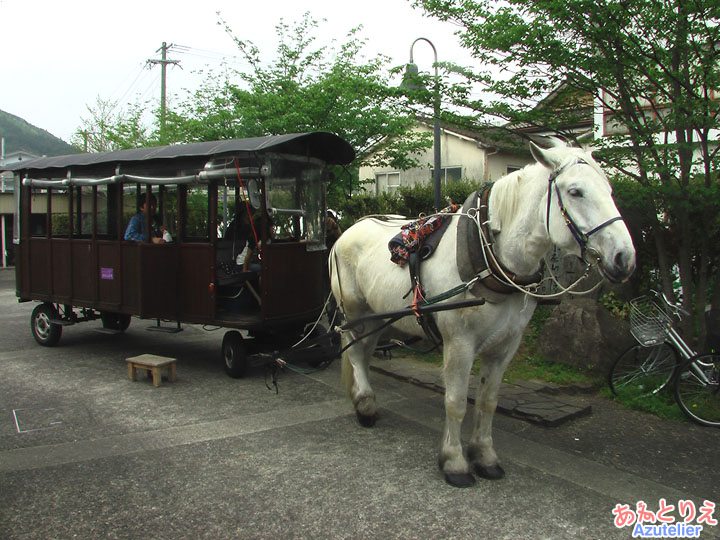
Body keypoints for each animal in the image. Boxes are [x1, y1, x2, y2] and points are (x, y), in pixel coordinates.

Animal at [330, 139, 632, 486]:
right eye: (575, 192)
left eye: (609, 189)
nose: (624, 257)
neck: (492, 258)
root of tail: (348, 230)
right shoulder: (459, 343)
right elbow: (456, 402)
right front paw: (454, 461)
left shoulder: (506, 345)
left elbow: (488, 402)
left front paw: (485, 456)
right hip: (354, 310)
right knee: (355, 351)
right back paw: (365, 406)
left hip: (378, 314)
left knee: (365, 351)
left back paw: (363, 398)